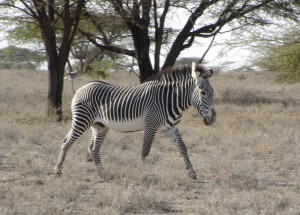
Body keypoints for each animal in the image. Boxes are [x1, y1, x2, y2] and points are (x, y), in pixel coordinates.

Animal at [54, 62, 216, 180]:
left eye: (213, 93)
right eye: (203, 93)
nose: (213, 119)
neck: (170, 100)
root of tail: (82, 87)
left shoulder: (171, 128)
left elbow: (182, 147)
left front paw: (191, 173)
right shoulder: (150, 125)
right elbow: (145, 150)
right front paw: (143, 174)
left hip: (100, 126)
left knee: (93, 148)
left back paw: (102, 173)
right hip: (82, 120)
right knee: (66, 142)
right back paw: (58, 171)